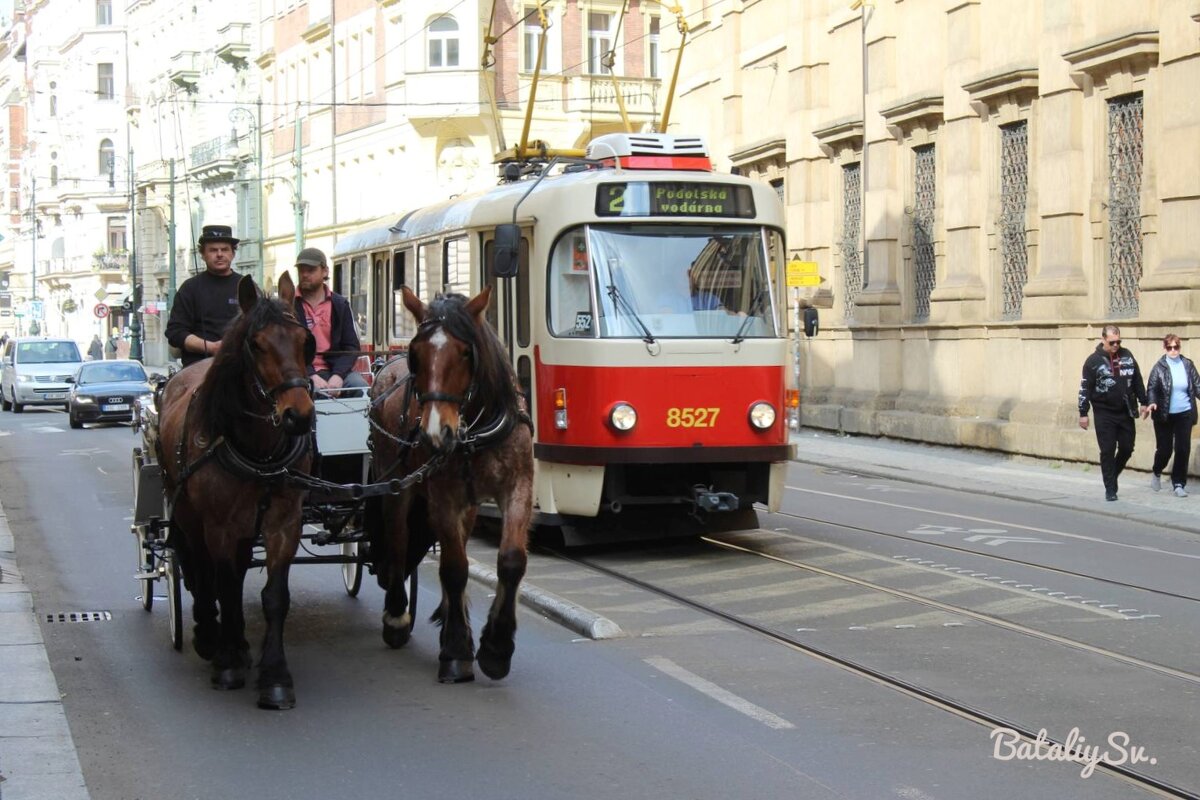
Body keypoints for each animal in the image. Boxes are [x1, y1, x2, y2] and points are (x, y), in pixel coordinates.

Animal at [157, 273, 316, 705]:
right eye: (256, 344)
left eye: (305, 341)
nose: (298, 416)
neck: (257, 449)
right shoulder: (219, 525)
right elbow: (224, 587)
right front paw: (226, 663)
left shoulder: (283, 523)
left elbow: (274, 597)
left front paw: (274, 676)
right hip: (186, 513)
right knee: (199, 570)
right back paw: (210, 637)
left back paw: (240, 645)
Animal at [367, 284, 532, 686]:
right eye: (416, 355)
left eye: (465, 352)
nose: (434, 434)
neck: (476, 429)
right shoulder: (442, 498)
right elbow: (455, 568)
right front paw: (457, 652)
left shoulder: (518, 487)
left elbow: (511, 560)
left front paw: (495, 648)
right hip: (395, 484)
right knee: (398, 540)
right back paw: (397, 615)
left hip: (468, 505)